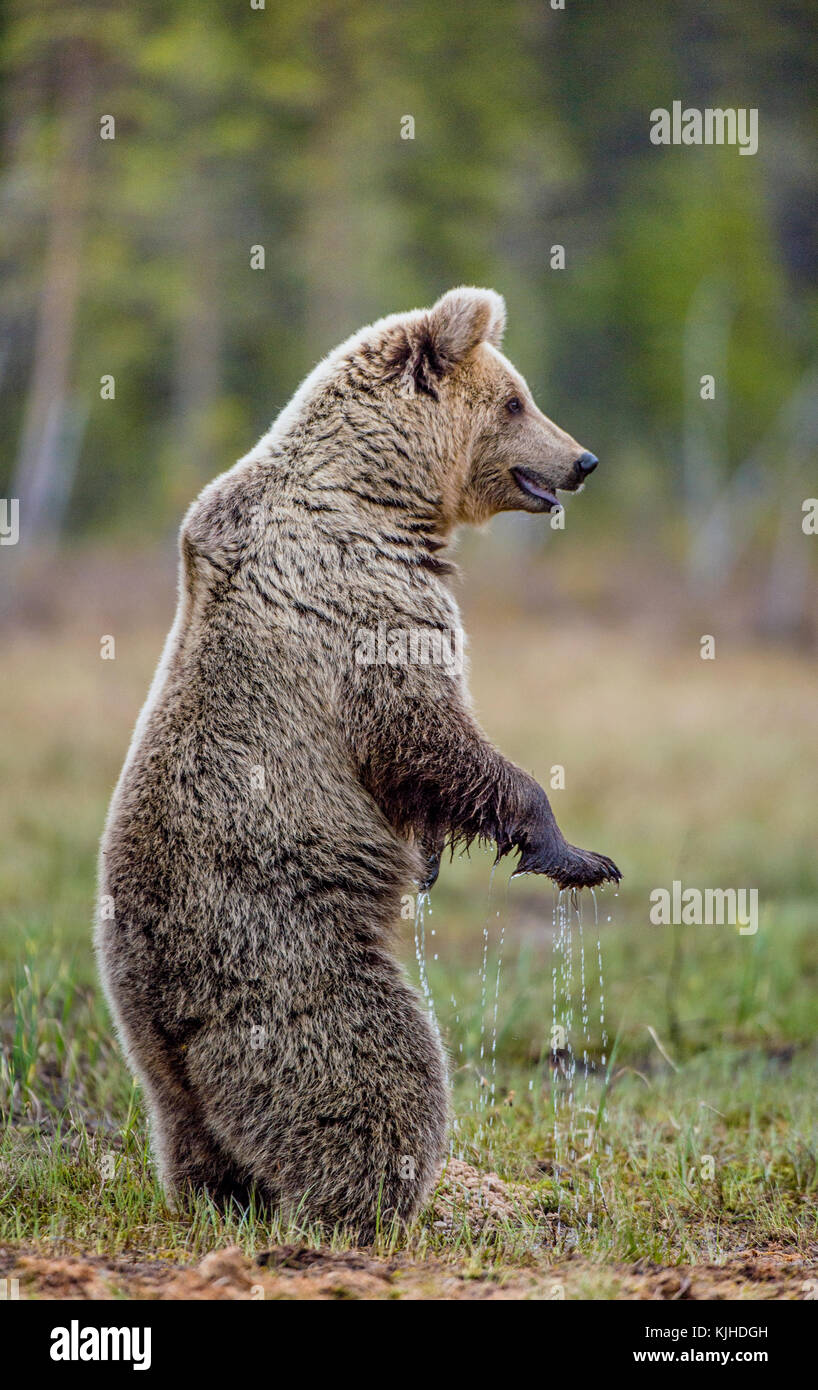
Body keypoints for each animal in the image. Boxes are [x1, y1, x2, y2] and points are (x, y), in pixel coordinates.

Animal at [95, 282, 620, 1239]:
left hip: (160, 1056)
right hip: (284, 956)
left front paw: (441, 854)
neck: (382, 491)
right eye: (517, 401)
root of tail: (156, 1005)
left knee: (191, 1131)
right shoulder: (361, 597)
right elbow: (427, 729)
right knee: (376, 1071)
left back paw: (226, 1197)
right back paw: (379, 1202)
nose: (583, 461)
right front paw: (574, 852)